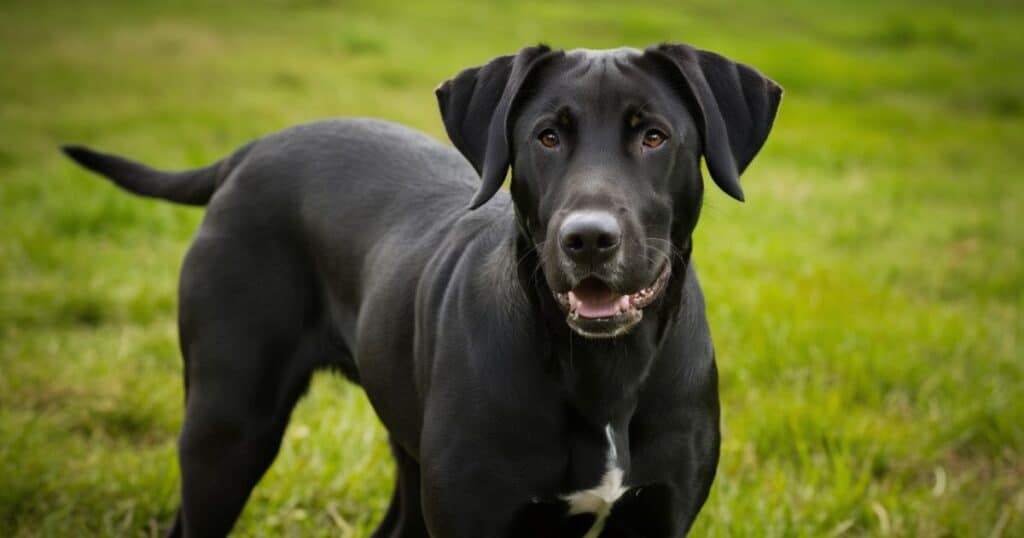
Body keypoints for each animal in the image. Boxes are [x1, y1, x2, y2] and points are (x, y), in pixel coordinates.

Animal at [64, 43, 778, 536]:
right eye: (546, 136)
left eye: (654, 136)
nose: (588, 239)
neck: (606, 367)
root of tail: (250, 151)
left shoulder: (660, 513)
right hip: (228, 422)